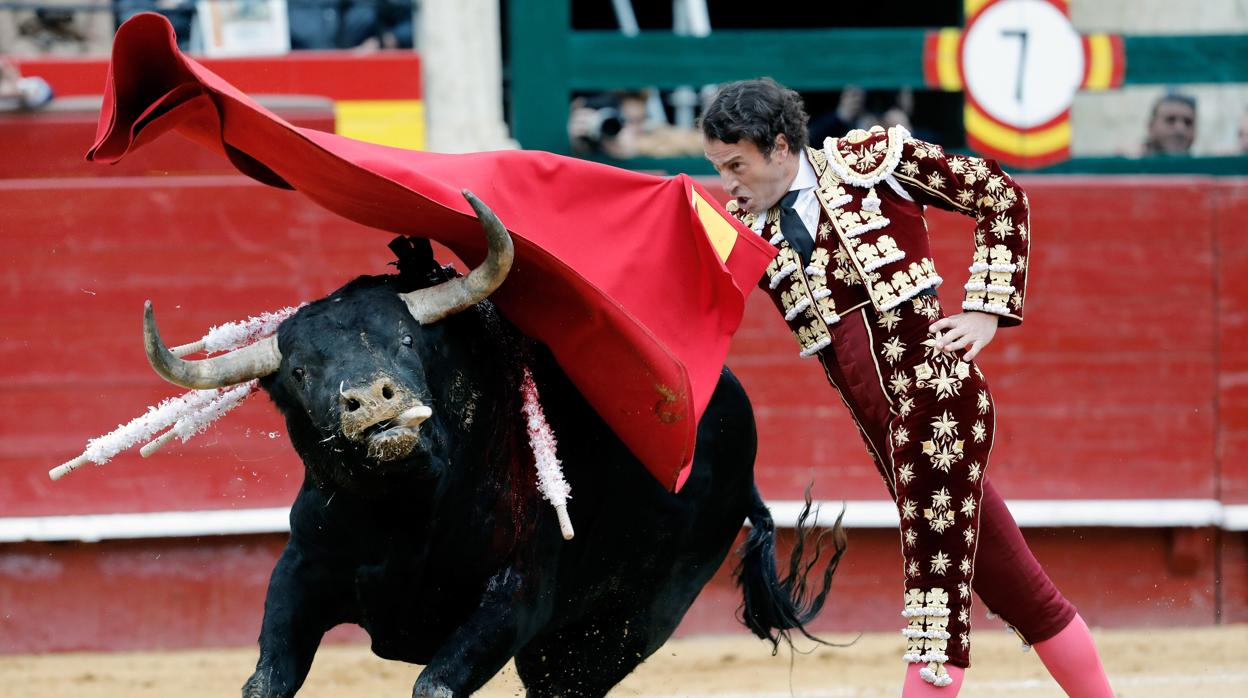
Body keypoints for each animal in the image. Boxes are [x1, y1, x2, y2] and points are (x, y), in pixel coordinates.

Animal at [141, 192, 843, 698]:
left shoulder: (513, 597)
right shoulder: (302, 569)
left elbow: (434, 685)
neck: (403, 512)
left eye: (406, 340)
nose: (374, 400)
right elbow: (267, 679)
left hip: (621, 628)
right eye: (298, 371)